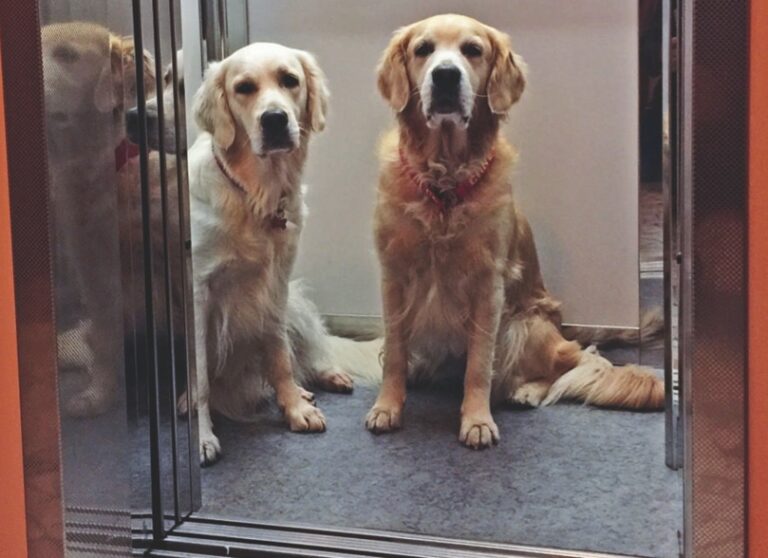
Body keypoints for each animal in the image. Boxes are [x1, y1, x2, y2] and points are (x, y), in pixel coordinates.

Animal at [189, 43, 368, 465]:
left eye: (290, 80)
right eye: (243, 88)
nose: (274, 119)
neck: (254, 195)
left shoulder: (276, 281)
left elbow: (279, 355)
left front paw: (295, 407)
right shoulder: (198, 293)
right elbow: (200, 377)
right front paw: (201, 437)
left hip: (296, 303)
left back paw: (322, 375)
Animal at [366, 14, 664, 449]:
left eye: (473, 50)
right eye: (423, 49)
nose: (445, 75)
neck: (444, 183)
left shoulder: (488, 286)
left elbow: (479, 364)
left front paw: (476, 420)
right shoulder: (394, 276)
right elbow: (394, 351)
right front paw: (388, 406)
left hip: (526, 326)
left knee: (571, 363)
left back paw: (526, 391)